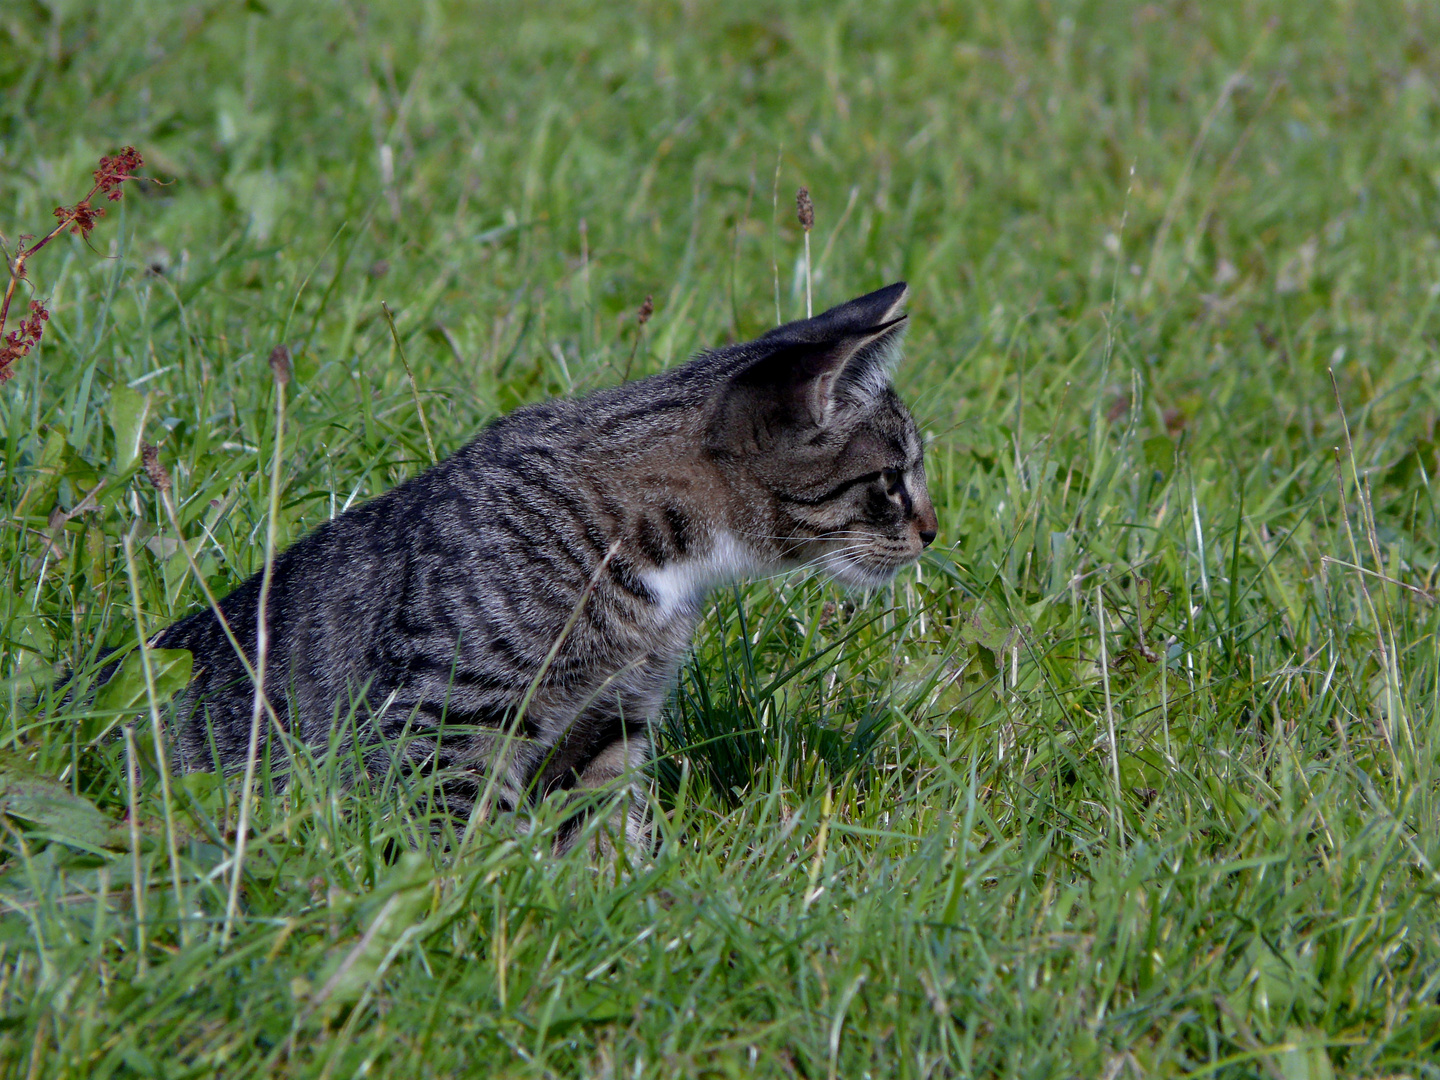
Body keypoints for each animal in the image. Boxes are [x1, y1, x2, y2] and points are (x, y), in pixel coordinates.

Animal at [143, 283, 933, 852]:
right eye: (893, 479)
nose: (932, 530)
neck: (654, 555)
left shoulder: (612, 718)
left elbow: (604, 827)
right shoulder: (448, 716)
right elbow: (453, 837)